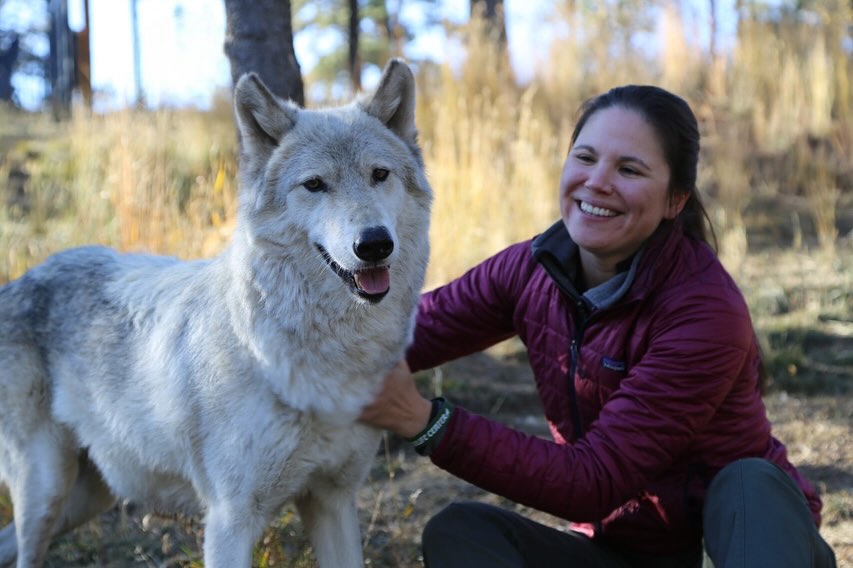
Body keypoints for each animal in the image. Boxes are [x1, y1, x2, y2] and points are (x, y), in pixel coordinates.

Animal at [0, 58, 430, 568]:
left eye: (379, 175)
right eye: (315, 185)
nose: (375, 244)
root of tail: (19, 280)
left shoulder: (333, 500)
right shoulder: (230, 519)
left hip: (86, 497)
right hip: (47, 492)